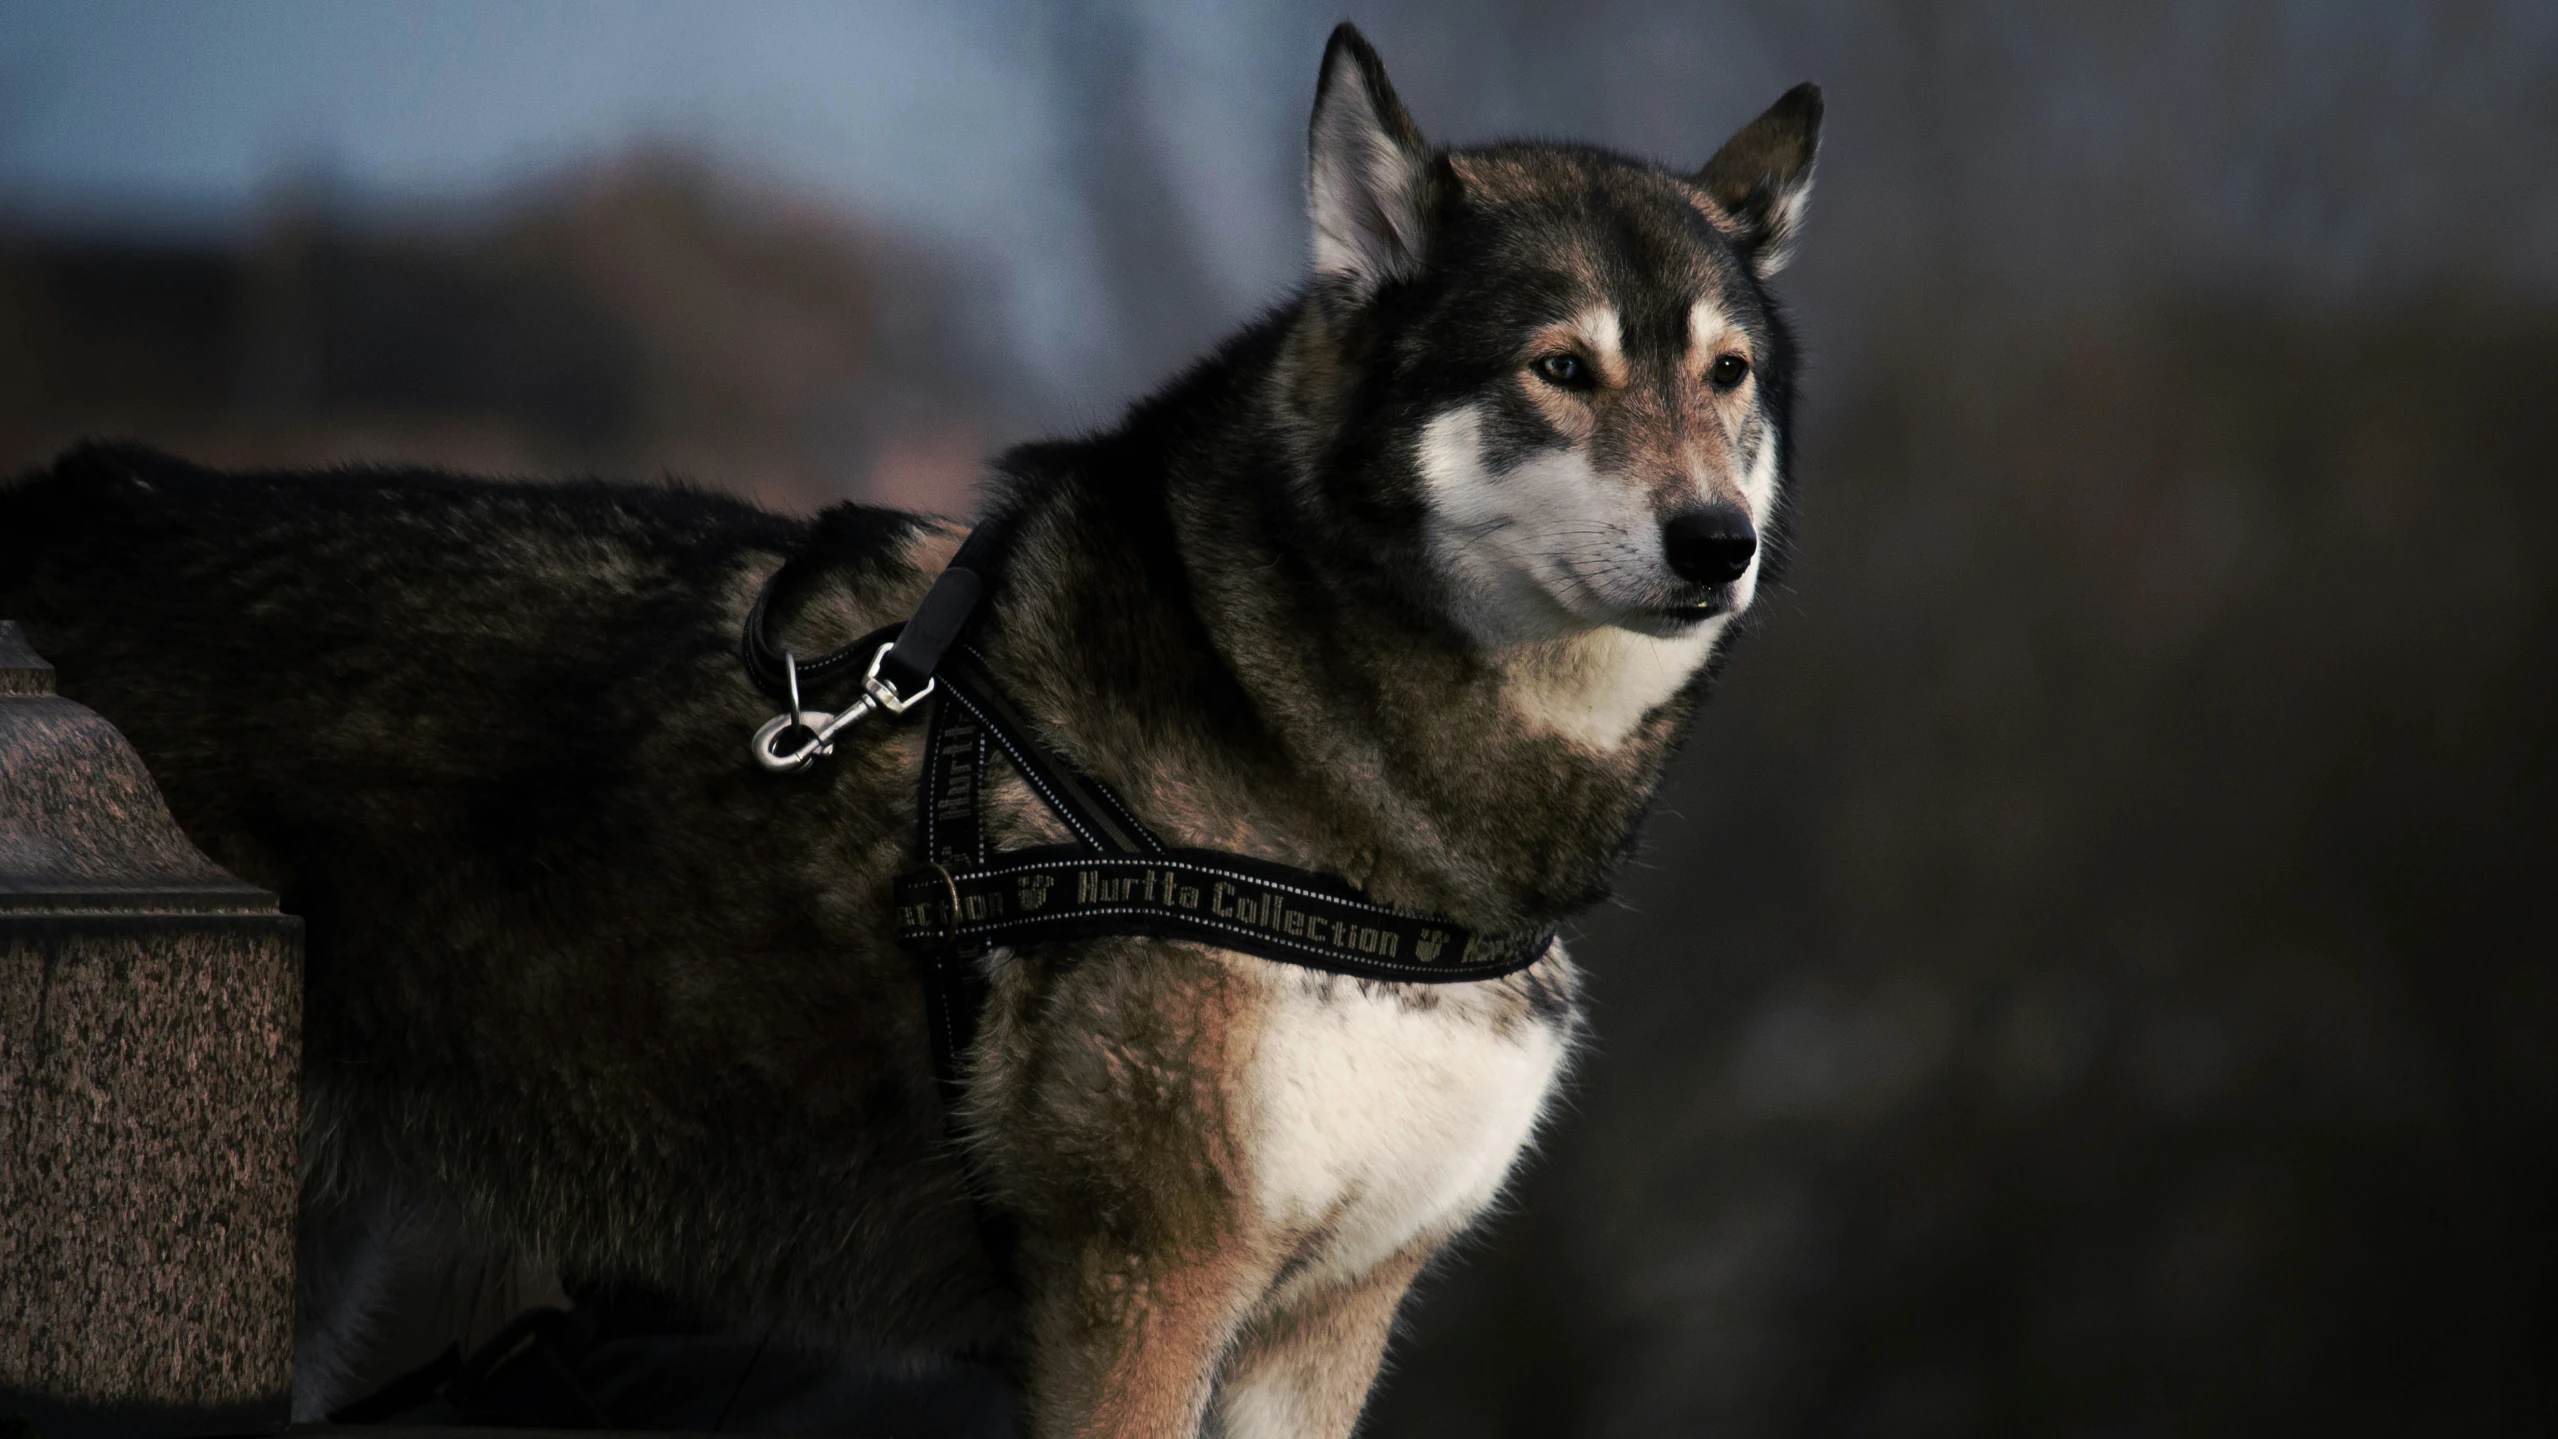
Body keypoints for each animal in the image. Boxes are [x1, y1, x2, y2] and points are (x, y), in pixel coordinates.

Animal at [0, 25, 1821, 1439]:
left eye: (1725, 374)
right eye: (1559, 369)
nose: (1715, 543)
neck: (1322, 761)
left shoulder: (1322, 1330)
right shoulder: (1138, 1294)